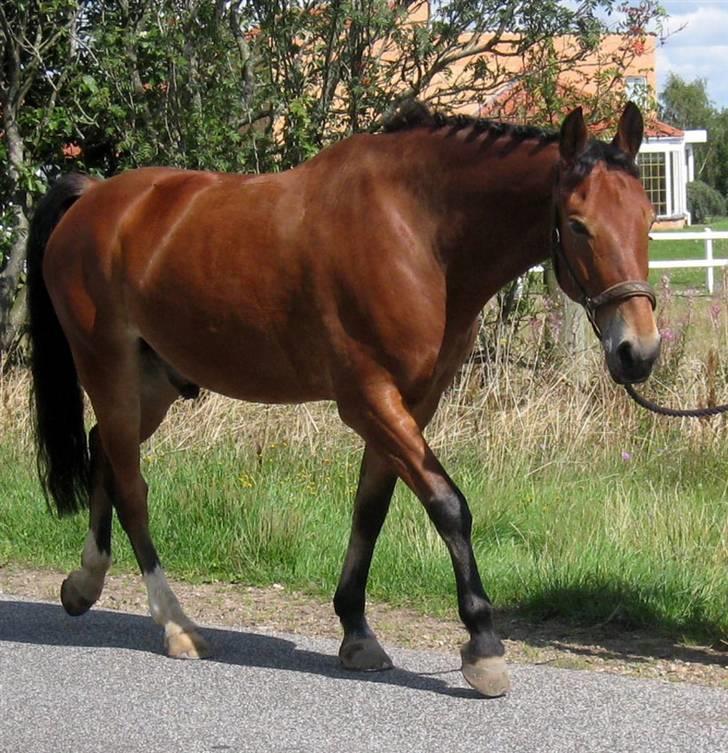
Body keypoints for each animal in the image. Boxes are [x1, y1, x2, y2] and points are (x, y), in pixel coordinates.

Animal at [26, 100, 659, 698]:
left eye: (649, 219)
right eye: (577, 225)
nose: (640, 351)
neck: (416, 230)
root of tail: (94, 198)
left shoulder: (411, 405)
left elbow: (370, 510)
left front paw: (357, 632)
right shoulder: (369, 400)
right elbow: (448, 506)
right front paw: (483, 647)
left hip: (152, 382)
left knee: (105, 455)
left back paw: (85, 583)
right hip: (107, 367)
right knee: (133, 488)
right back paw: (176, 624)